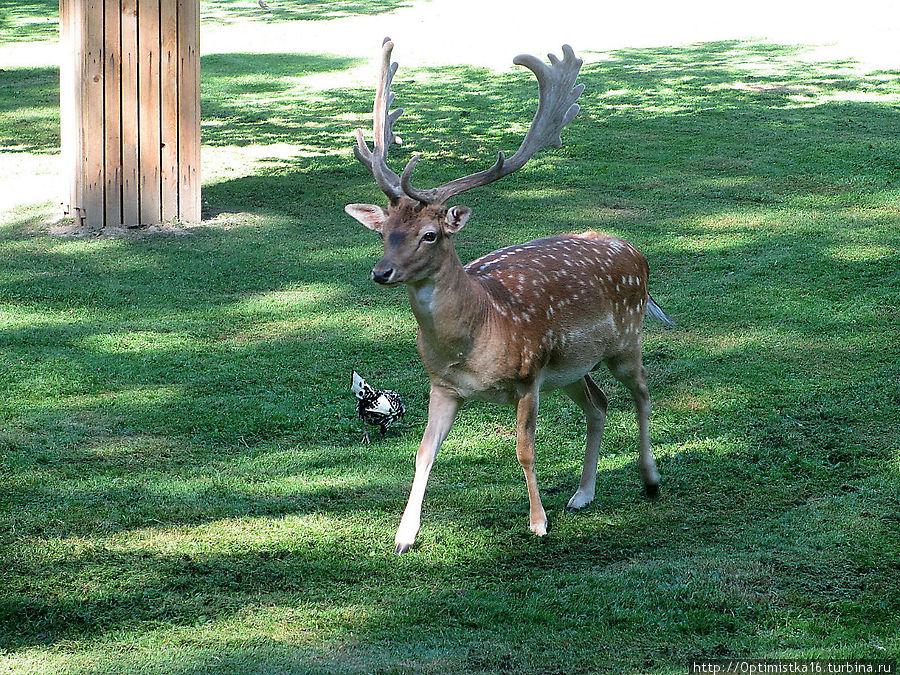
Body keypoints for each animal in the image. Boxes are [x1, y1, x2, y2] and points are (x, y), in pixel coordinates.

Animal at [348, 38, 672, 556]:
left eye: (430, 234)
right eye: (385, 232)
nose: (381, 272)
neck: (476, 335)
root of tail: (635, 253)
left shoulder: (527, 376)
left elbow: (525, 450)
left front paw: (537, 523)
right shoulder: (444, 386)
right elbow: (422, 453)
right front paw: (403, 536)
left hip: (625, 338)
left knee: (641, 392)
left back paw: (650, 479)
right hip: (570, 368)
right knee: (599, 403)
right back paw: (582, 494)